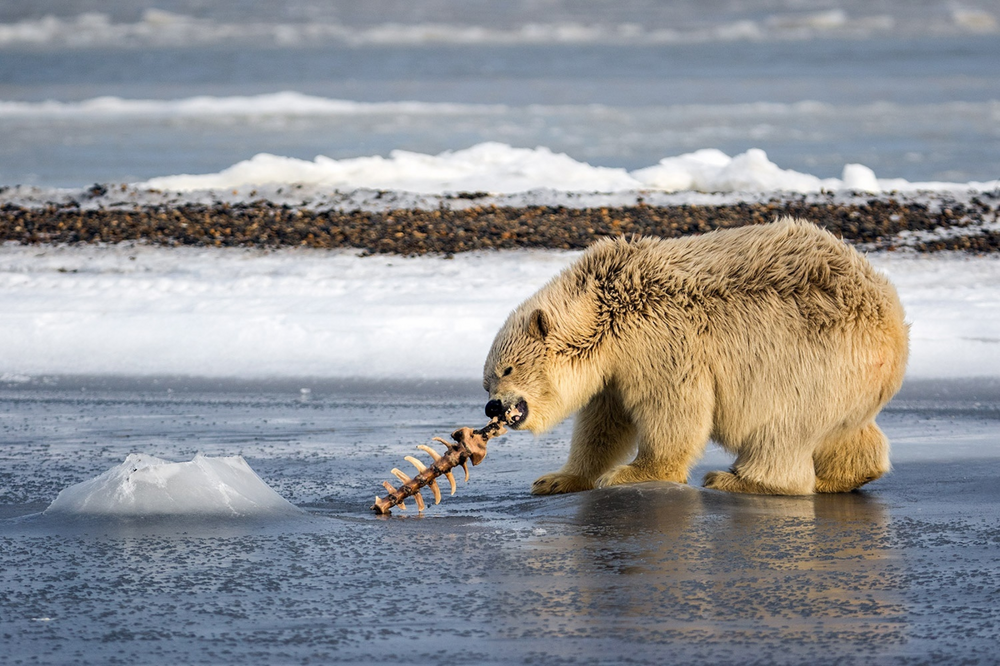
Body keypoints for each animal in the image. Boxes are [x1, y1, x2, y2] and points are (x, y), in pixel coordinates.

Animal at [480, 218, 912, 492]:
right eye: (486, 382)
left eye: (507, 368)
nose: (493, 408)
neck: (606, 304)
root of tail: (894, 325)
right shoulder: (616, 366)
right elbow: (603, 422)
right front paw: (556, 479)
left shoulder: (658, 336)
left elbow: (672, 406)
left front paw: (634, 474)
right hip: (850, 380)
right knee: (844, 428)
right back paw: (841, 477)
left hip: (813, 361)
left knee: (782, 427)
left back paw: (738, 480)